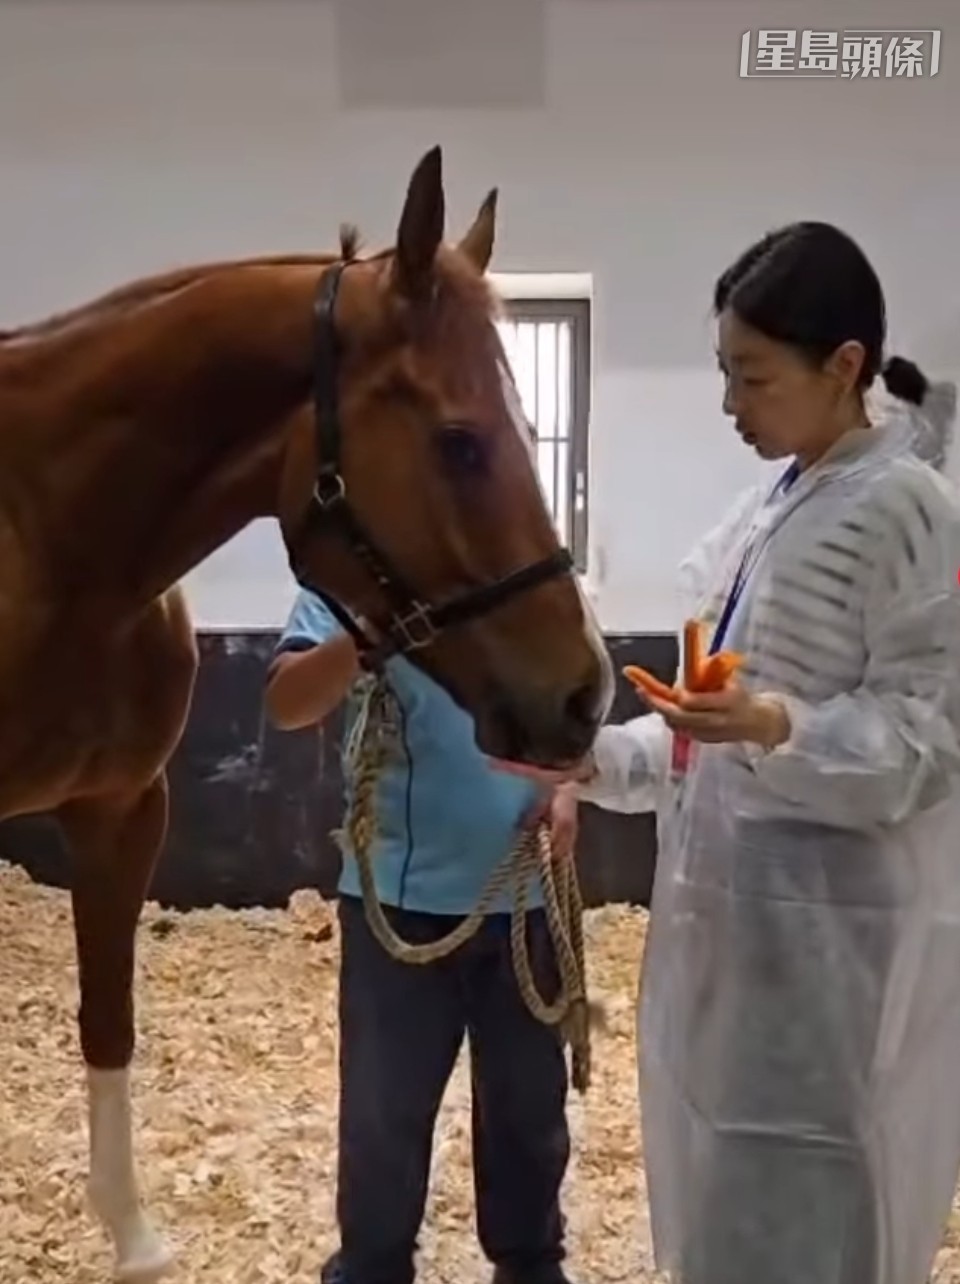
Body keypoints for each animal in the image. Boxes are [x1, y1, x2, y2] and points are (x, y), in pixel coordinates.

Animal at [0, 144, 614, 1280]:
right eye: (460, 443)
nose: (584, 693)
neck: (45, 537)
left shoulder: (121, 812)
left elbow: (109, 1019)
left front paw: (134, 1240)